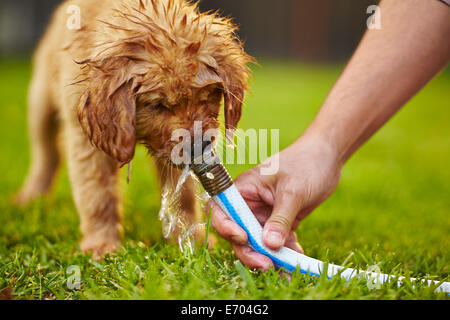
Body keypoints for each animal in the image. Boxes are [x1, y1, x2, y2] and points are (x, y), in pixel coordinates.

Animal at [14, 0, 253, 258]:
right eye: (158, 105)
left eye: (206, 96)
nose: (199, 146)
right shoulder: (84, 137)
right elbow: (97, 194)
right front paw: (102, 245)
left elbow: (184, 195)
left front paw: (193, 239)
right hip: (41, 102)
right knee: (46, 152)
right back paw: (31, 196)